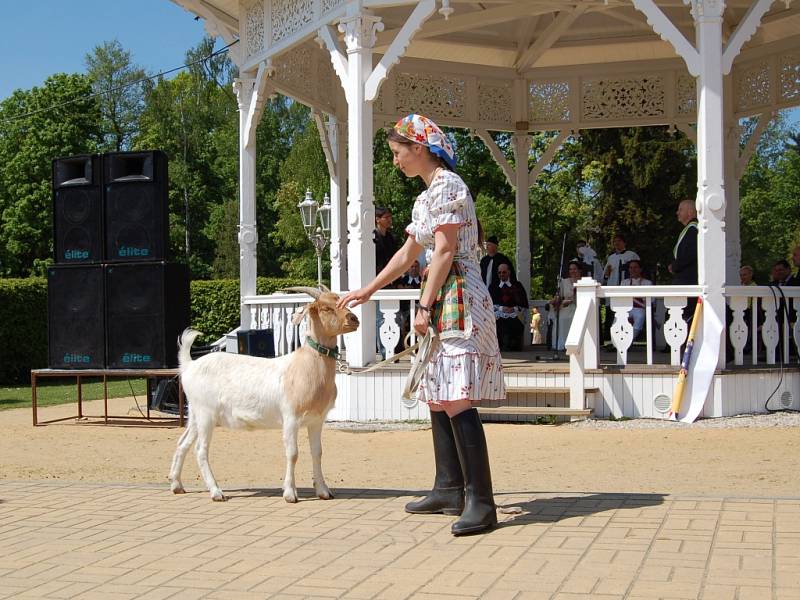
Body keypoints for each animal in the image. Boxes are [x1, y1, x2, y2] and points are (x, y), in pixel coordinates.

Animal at [169, 288, 360, 504]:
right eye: (326, 308)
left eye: (341, 301)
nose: (354, 319)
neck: (305, 366)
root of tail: (189, 365)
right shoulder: (291, 418)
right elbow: (292, 453)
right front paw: (290, 493)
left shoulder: (317, 420)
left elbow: (317, 452)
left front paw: (323, 491)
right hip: (206, 413)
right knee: (200, 450)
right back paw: (216, 492)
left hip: (195, 414)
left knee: (183, 443)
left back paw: (177, 485)